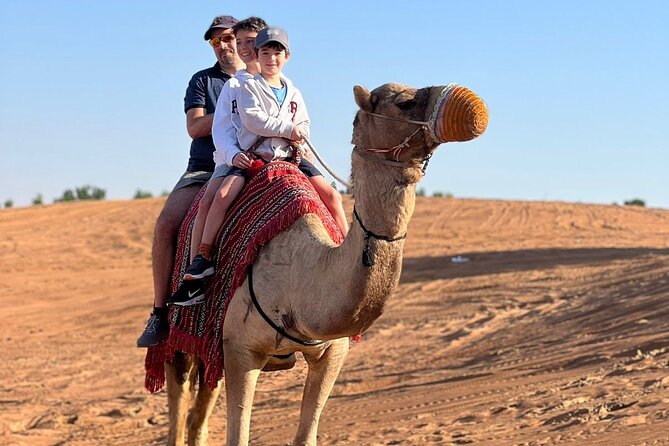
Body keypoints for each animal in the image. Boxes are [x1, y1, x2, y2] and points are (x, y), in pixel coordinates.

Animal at [164, 81, 488, 445]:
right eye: (404, 102)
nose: (471, 105)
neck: (296, 281)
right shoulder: (240, 349)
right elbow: (238, 436)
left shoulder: (332, 352)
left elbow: (306, 435)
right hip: (180, 333)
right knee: (178, 401)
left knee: (198, 412)